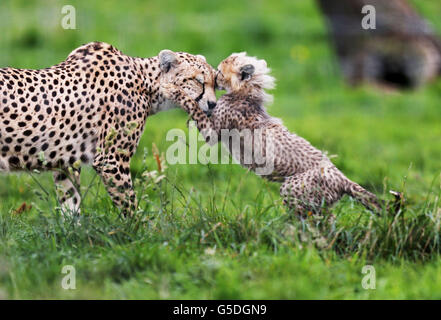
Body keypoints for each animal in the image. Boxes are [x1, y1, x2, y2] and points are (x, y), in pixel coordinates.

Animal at [0, 40, 217, 215]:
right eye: (198, 81)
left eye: (215, 83)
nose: (213, 104)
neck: (146, 83)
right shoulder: (111, 160)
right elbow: (129, 204)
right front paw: (139, 233)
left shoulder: (65, 160)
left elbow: (70, 202)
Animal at [161, 52, 398, 215]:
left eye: (219, 71)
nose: (214, 72)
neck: (246, 94)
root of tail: (341, 176)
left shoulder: (214, 132)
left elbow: (194, 107)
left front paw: (172, 90)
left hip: (293, 189)